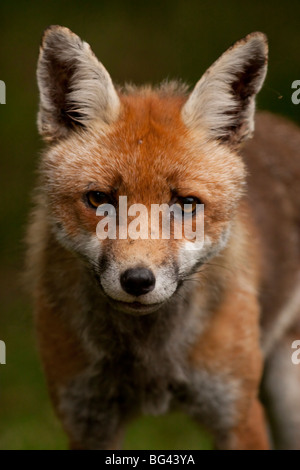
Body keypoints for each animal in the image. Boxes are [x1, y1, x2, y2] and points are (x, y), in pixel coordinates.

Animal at [25, 24, 300, 448]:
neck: (151, 360)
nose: (137, 281)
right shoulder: (87, 419)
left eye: (186, 203)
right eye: (99, 199)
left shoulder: (237, 414)